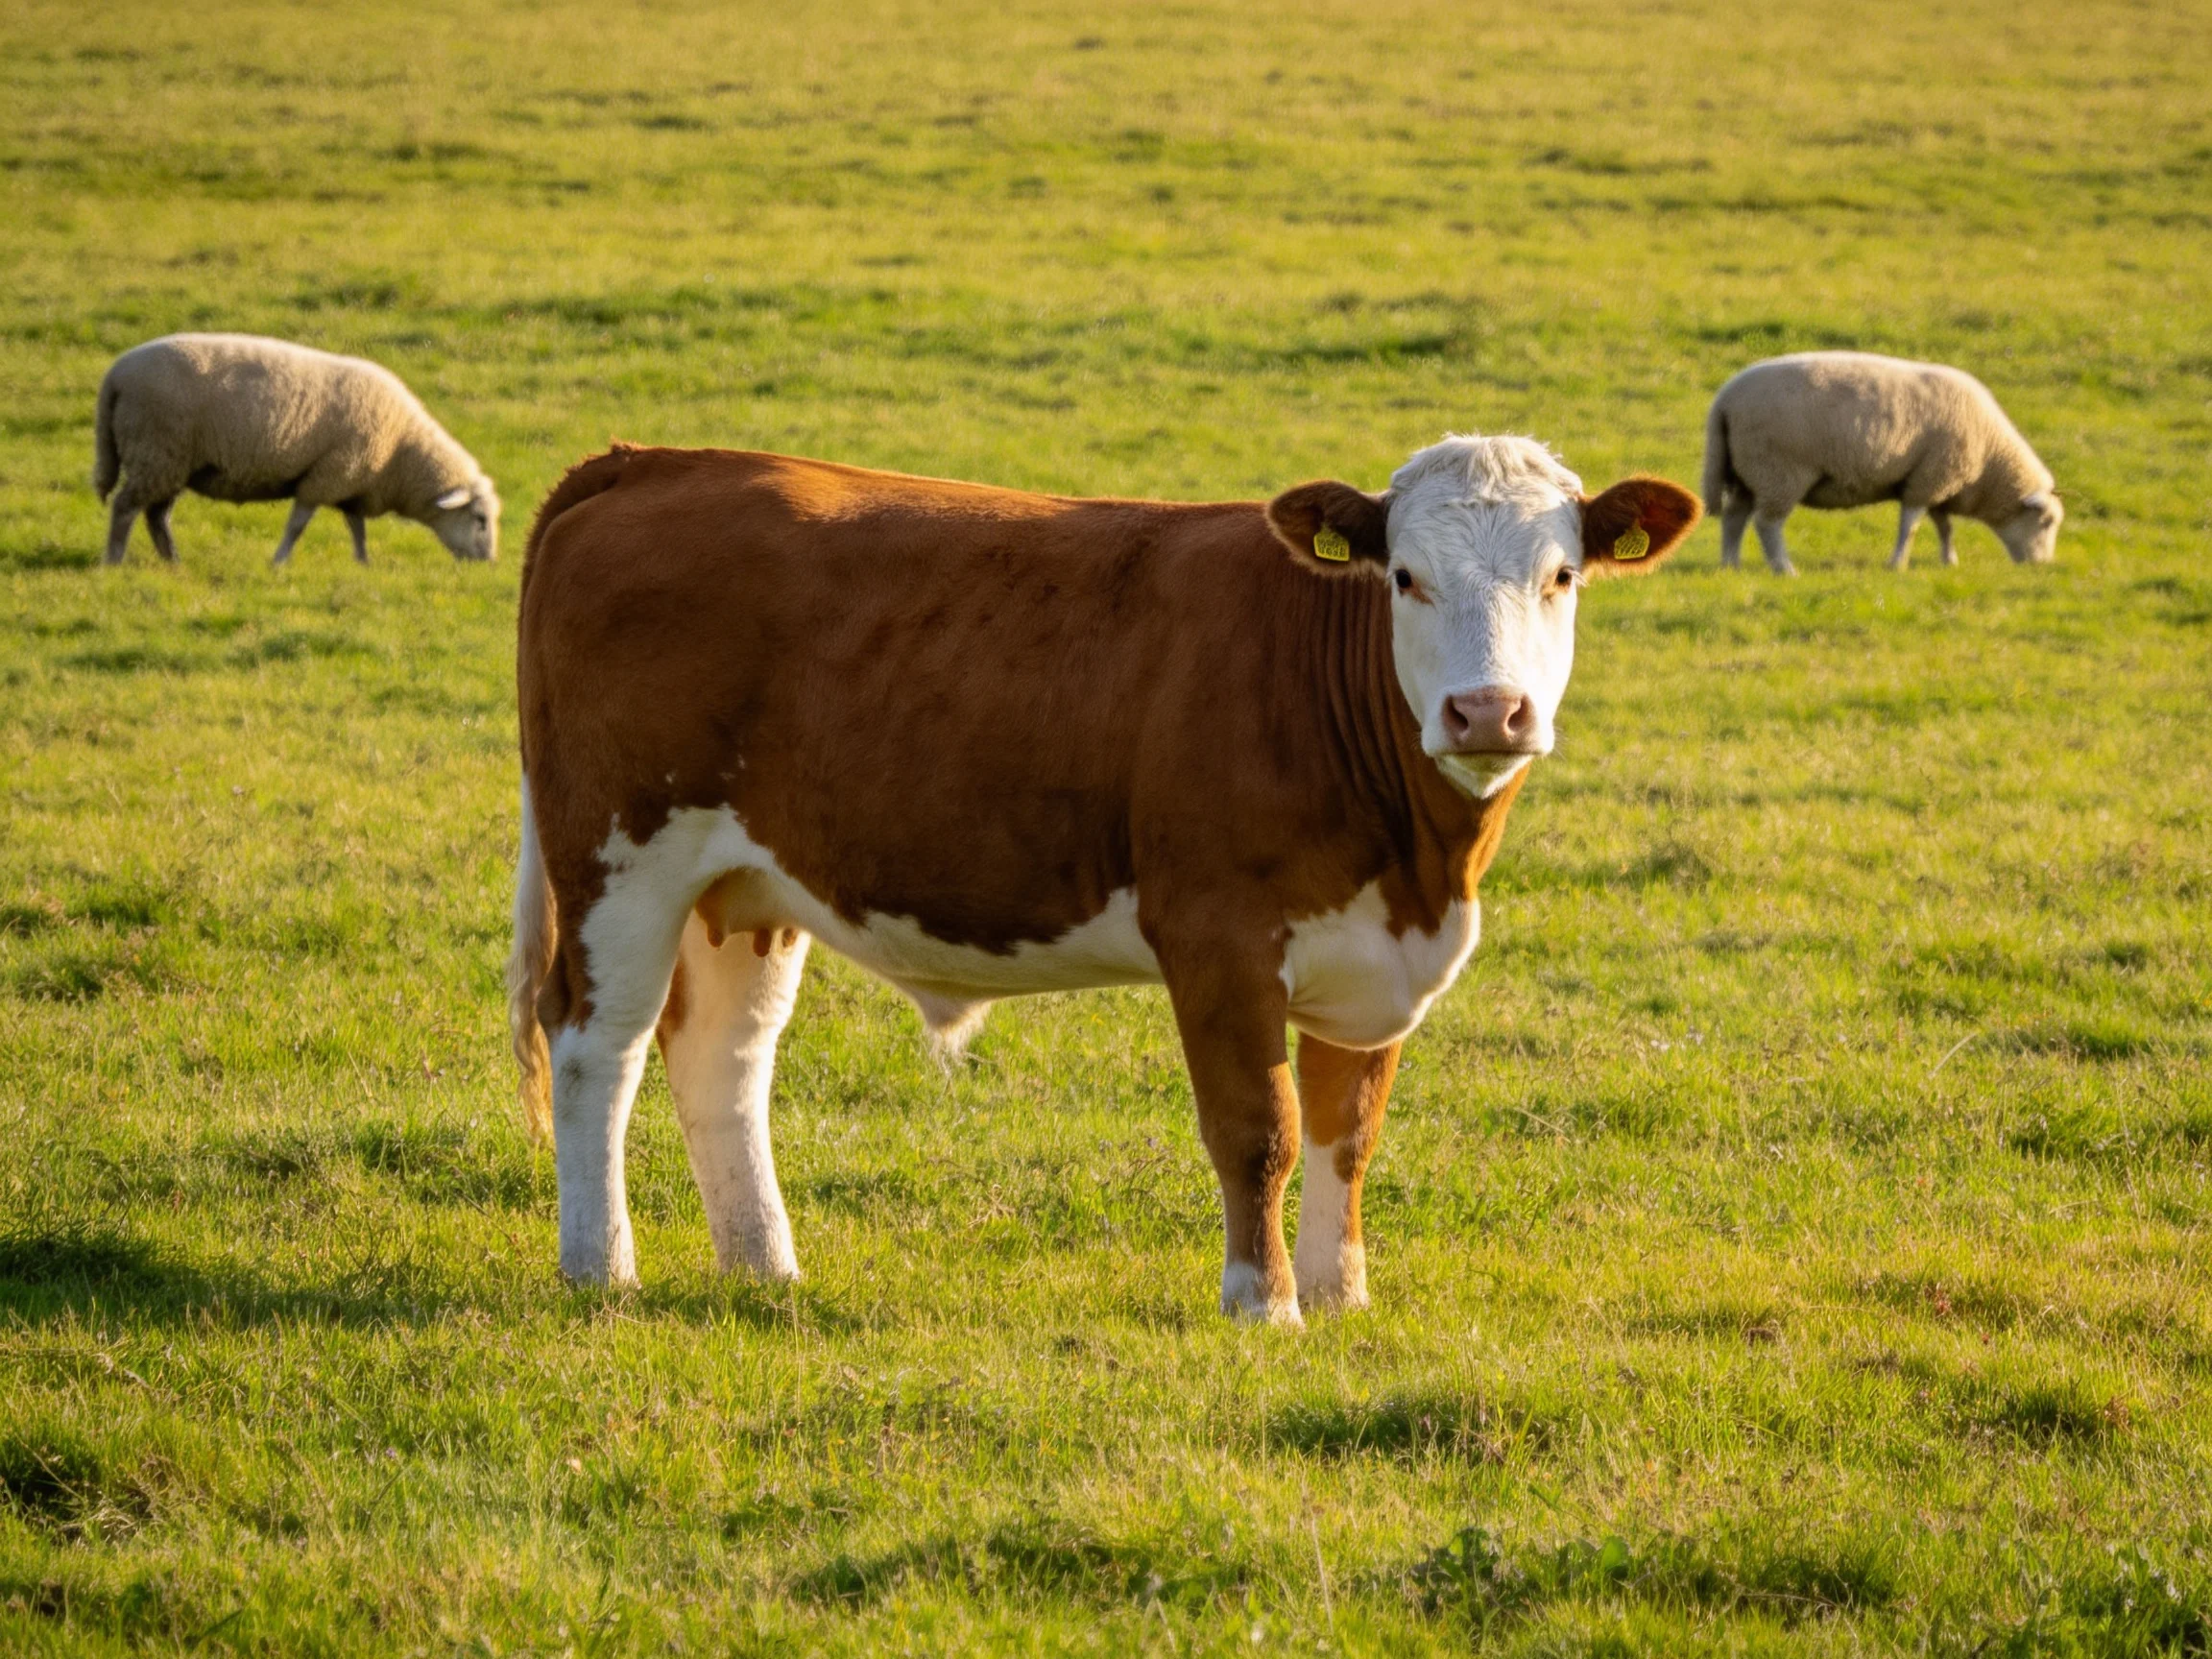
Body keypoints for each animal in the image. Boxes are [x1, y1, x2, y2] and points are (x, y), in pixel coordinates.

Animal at [92, 333, 499, 567]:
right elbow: (298, 526)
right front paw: (279, 562)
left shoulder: (350, 481)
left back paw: (173, 562)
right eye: (480, 519)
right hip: (156, 450)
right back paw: (113, 560)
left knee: (156, 516)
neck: (401, 449)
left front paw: (363, 564)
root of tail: (115, 375)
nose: (490, 563)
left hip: (171, 461)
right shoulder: (327, 475)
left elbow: (357, 527)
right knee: (126, 508)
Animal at [507, 436, 1700, 1323]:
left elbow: (1346, 1131)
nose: (1488, 711)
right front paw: (1262, 1304)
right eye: (1406, 578)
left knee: (724, 1054)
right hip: (618, 856)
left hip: (744, 884)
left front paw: (1340, 1295)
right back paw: (600, 1270)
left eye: (1561, 576)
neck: (1419, 862)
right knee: (597, 1042)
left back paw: (764, 1268)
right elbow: (1258, 1129)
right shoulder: (1218, 937)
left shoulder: (1373, 957)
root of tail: (658, 461)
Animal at [1701, 351, 2061, 575]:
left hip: (1747, 471)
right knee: (1767, 524)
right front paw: (1897, 564)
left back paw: (1730, 565)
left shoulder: (1934, 478)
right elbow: (1911, 526)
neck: (1990, 462)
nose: (2042, 567)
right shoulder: (1930, 479)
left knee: (1734, 518)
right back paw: (1784, 569)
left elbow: (1944, 526)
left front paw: (1949, 560)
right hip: (1780, 470)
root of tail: (1725, 399)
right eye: (2045, 523)